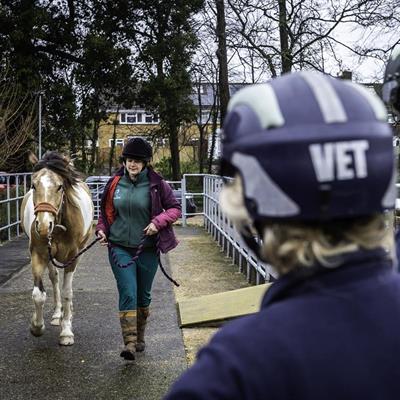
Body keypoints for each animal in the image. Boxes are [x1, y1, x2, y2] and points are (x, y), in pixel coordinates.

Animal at [21, 152, 94, 346]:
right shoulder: (38, 254)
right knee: (54, 279)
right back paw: (56, 315)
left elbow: (67, 292)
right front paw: (36, 326)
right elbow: (38, 294)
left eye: (60, 186)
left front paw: (67, 331)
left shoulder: (73, 257)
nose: (43, 225)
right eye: (33, 185)